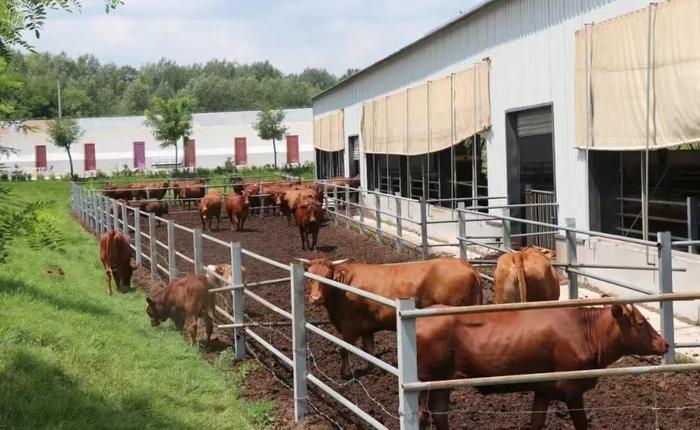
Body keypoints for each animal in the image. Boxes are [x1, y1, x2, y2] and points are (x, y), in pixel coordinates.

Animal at [296, 256, 482, 378]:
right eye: (309, 277)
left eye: (327, 276)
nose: (316, 298)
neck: (343, 288)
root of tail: (464, 263)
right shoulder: (366, 328)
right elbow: (369, 350)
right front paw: (372, 370)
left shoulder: (349, 327)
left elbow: (344, 350)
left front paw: (343, 375)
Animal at [412, 304, 668, 428]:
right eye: (641, 323)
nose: (665, 344)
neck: (585, 332)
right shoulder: (571, 389)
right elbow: (581, 423)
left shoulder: (544, 390)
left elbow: (536, 422)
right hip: (423, 382)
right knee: (422, 416)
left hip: (442, 383)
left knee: (440, 414)